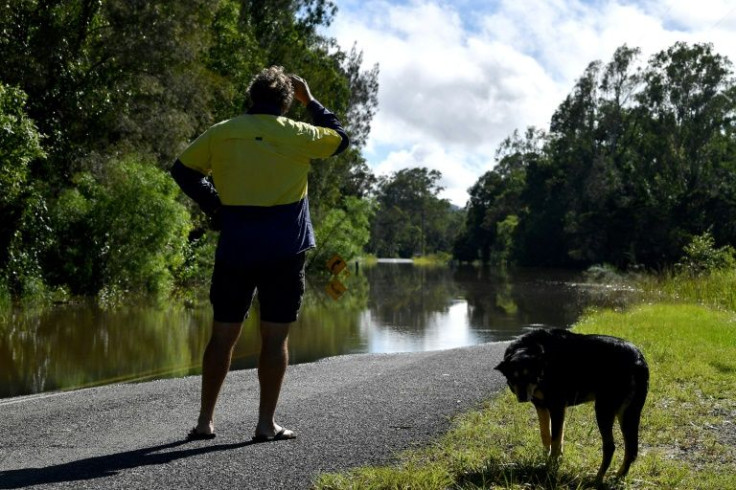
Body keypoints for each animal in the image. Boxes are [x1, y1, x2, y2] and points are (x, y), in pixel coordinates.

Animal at [498, 328, 648, 480]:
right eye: (513, 377)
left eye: (530, 376)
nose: (522, 397)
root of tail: (638, 359)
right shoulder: (542, 406)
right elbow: (546, 435)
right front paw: (549, 459)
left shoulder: (557, 406)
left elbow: (555, 439)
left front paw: (551, 466)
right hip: (628, 412)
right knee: (631, 449)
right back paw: (619, 476)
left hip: (604, 409)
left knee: (610, 447)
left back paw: (598, 478)